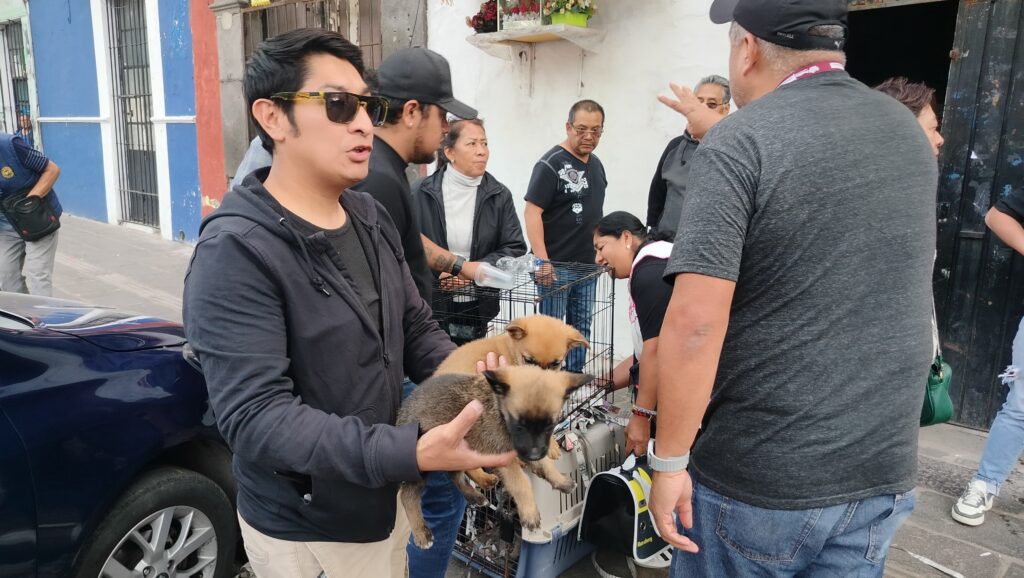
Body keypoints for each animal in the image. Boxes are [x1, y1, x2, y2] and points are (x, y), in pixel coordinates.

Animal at [397, 366, 592, 549]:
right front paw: (529, 512)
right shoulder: (505, 457)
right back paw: (422, 533)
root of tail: (401, 414)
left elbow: (547, 465)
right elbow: (521, 483)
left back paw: (478, 492)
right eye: (519, 426)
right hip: (423, 465)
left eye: (550, 426)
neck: (498, 408)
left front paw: (561, 481)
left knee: (456, 475)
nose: (533, 455)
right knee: (407, 495)